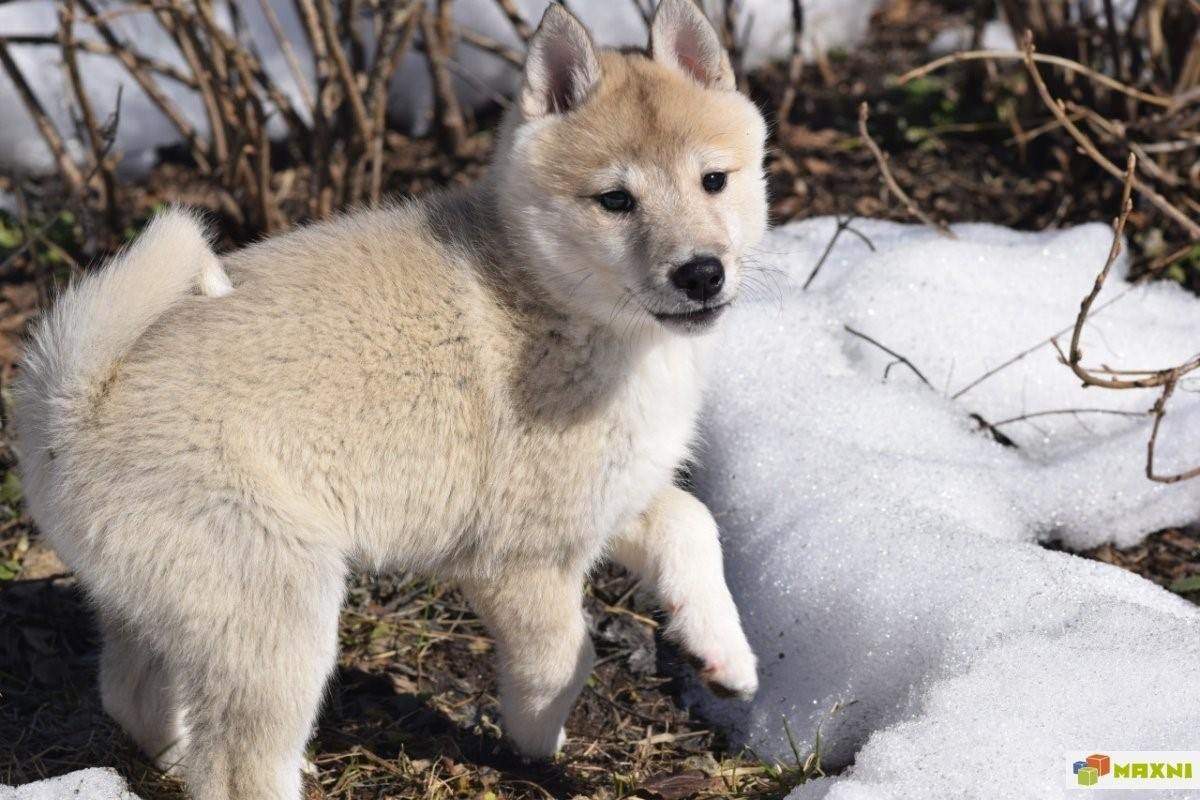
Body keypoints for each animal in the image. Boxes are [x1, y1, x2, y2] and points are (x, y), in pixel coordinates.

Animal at [11, 3, 768, 796]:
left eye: (714, 180)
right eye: (615, 201)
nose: (702, 274)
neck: (555, 300)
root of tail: (72, 402)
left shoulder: (612, 493)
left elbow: (692, 523)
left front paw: (724, 656)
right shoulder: (521, 557)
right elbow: (563, 656)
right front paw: (538, 744)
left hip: (169, 602)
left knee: (130, 695)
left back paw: (172, 752)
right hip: (276, 610)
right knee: (237, 767)